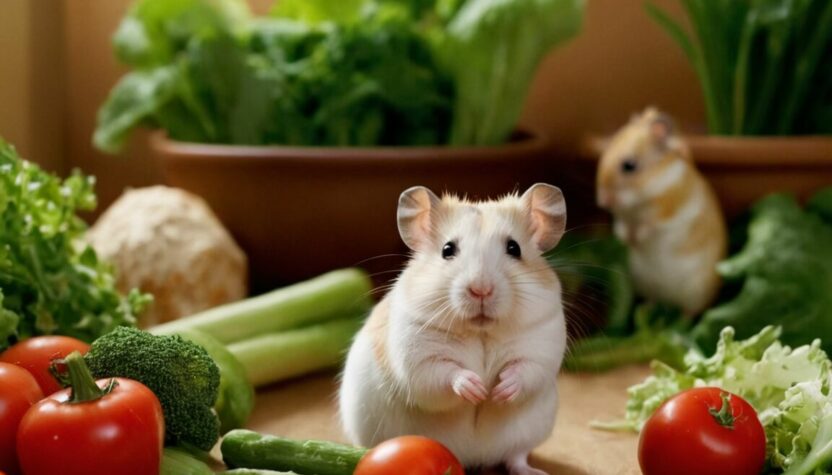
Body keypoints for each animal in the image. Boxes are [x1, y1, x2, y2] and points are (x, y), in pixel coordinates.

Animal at [339, 184, 568, 475]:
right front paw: (476, 389)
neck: (481, 331)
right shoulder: (418, 359)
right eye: (447, 249)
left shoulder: (542, 344)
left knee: (515, 457)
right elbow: (443, 375)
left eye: (514, 248)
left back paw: (534, 471)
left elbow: (527, 371)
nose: (481, 290)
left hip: (531, 431)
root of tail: (474, 459)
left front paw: (498, 391)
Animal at [596, 107, 727, 316]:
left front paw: (637, 238)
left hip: (696, 292)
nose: (603, 200)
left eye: (629, 166)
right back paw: (646, 310)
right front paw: (628, 241)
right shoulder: (622, 218)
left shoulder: (664, 210)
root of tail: (669, 302)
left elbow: (650, 225)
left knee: (690, 311)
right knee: (652, 300)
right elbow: (622, 227)